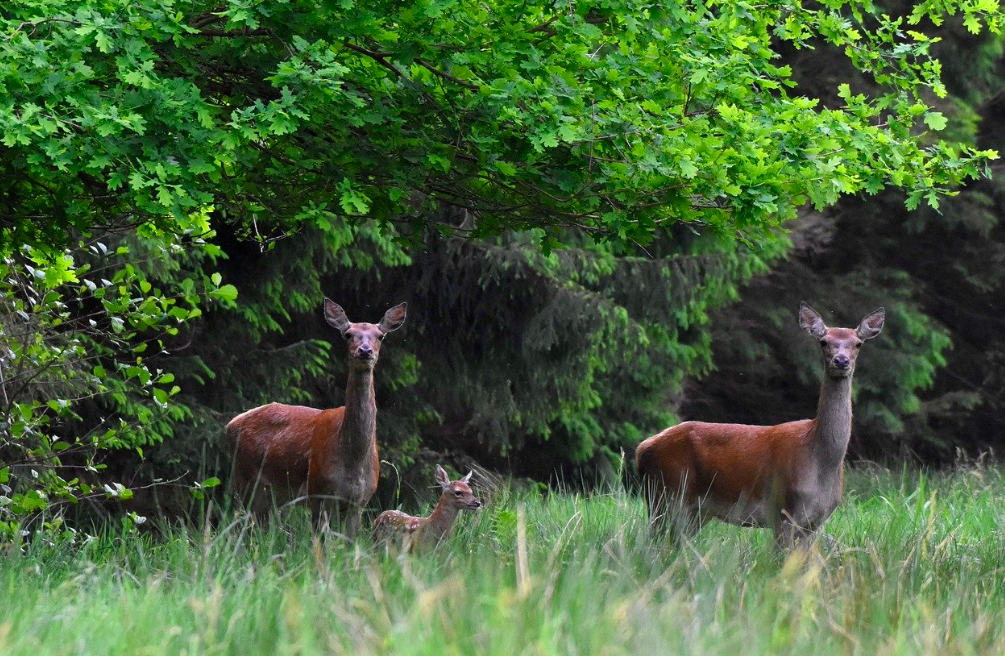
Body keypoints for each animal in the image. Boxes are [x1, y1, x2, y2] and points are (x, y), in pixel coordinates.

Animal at [226, 299, 406, 534]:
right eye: (348, 334)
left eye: (380, 335)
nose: (365, 351)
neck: (353, 458)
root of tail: (231, 424)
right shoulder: (318, 490)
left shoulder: (361, 500)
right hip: (245, 478)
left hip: (272, 492)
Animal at [635, 301, 888, 546]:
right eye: (824, 341)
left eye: (858, 344)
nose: (841, 361)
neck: (820, 461)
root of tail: (642, 448)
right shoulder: (784, 510)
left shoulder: (815, 522)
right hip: (668, 494)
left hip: (693, 511)